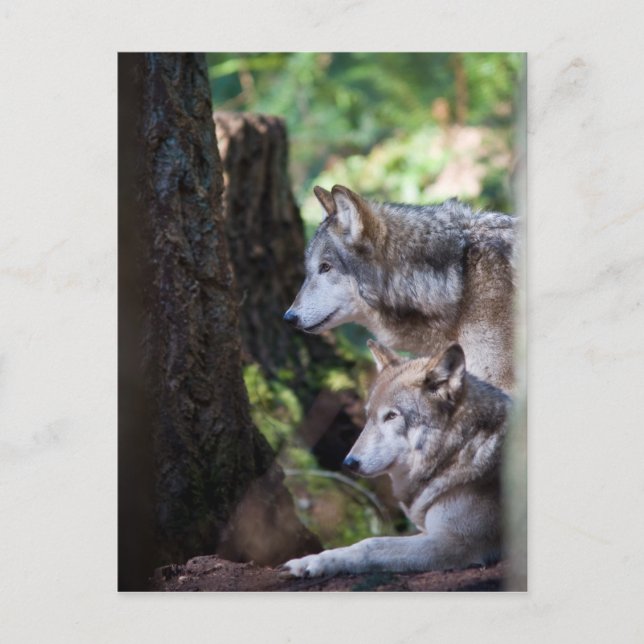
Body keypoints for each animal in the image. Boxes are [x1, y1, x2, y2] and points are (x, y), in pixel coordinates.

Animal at [281, 340, 509, 577]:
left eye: (391, 416)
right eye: (369, 417)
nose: (349, 463)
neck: (461, 449)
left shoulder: (455, 543)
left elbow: (370, 547)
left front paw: (320, 563)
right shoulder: (434, 533)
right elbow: (369, 542)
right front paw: (308, 559)